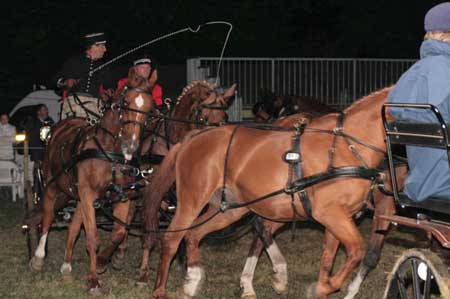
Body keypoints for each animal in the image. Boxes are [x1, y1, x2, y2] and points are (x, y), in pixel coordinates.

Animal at [29, 68, 156, 292]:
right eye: (126, 103)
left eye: (150, 109)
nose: (131, 147)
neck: (107, 152)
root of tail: (60, 126)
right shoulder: (88, 195)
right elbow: (91, 238)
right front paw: (94, 279)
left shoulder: (120, 196)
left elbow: (118, 232)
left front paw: (104, 261)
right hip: (52, 186)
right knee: (47, 219)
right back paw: (38, 258)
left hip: (77, 195)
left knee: (72, 229)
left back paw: (66, 265)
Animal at [153, 87, 396, 299]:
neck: (347, 145)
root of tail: (193, 136)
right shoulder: (329, 213)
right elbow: (357, 250)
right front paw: (318, 287)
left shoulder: (339, 217)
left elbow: (329, 259)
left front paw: (321, 288)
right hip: (191, 200)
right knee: (172, 238)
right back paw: (161, 290)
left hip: (229, 209)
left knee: (194, 234)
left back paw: (192, 280)